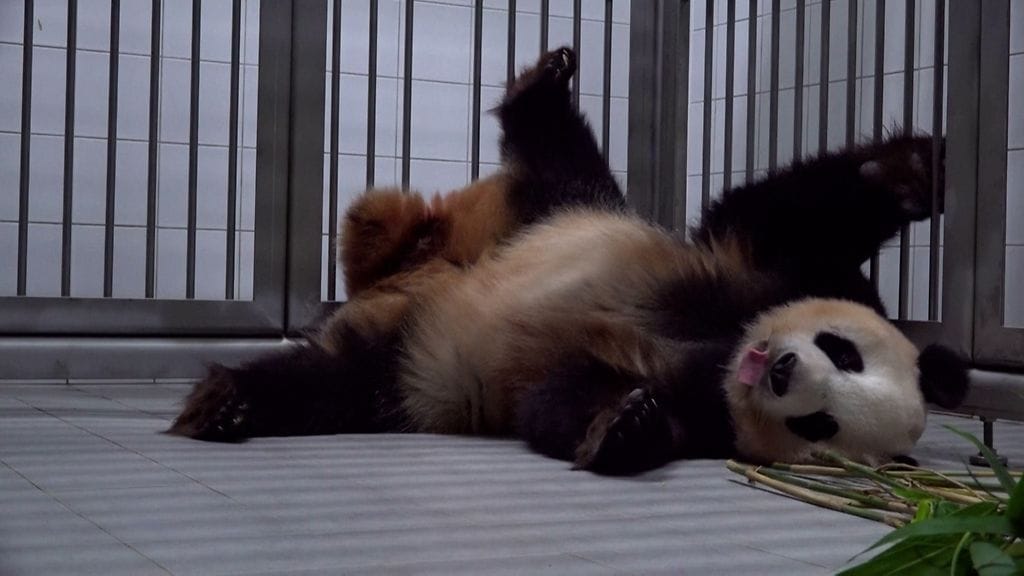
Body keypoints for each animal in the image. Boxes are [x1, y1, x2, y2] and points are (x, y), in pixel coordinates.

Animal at [170, 47, 969, 475]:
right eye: (845, 351)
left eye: (821, 425)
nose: (780, 369)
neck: (722, 348)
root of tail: (409, 277)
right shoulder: (755, 271)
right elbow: (769, 210)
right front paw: (914, 171)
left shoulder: (702, 403)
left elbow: (563, 392)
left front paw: (627, 426)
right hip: (558, 212)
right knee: (559, 156)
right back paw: (543, 82)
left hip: (406, 369)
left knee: (334, 382)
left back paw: (233, 400)